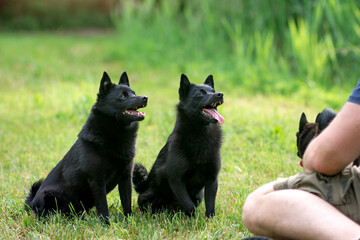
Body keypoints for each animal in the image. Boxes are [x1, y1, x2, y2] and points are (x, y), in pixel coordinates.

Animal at [25, 71, 148, 223]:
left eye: (134, 93)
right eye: (123, 96)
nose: (145, 98)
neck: (116, 133)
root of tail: (31, 202)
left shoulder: (126, 177)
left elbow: (127, 203)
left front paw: (128, 221)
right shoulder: (97, 181)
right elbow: (103, 207)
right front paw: (106, 225)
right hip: (48, 195)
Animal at [132, 73, 224, 218]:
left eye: (213, 91)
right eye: (201, 93)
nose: (220, 94)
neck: (201, 134)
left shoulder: (212, 179)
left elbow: (210, 206)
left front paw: (208, 220)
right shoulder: (176, 180)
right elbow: (189, 205)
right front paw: (192, 220)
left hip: (199, 195)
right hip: (146, 198)